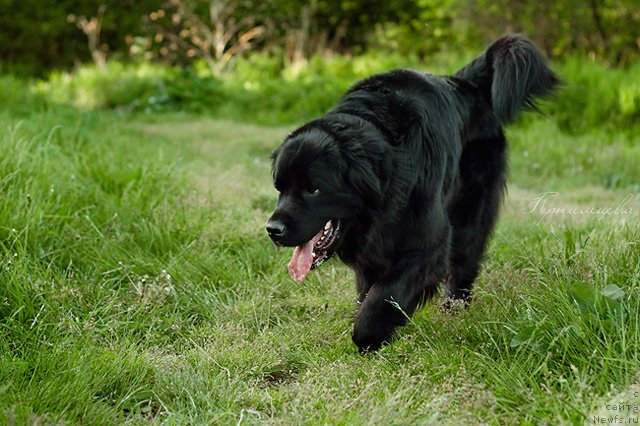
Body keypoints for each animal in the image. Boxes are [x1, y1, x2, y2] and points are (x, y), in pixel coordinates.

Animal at [266, 35, 560, 352]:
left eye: (313, 189)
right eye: (280, 188)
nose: (272, 229)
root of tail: (464, 84)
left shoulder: (427, 243)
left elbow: (387, 292)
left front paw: (368, 334)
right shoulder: (372, 250)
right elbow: (370, 288)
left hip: (471, 210)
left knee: (465, 259)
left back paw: (455, 308)